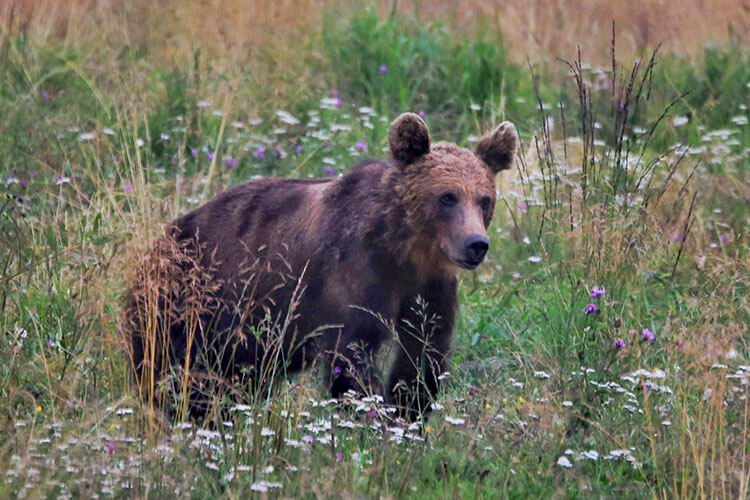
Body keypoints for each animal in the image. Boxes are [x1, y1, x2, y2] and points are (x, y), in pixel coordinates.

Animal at [126, 113, 520, 422]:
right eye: (447, 197)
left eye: (484, 199)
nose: (475, 244)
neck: (404, 249)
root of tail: (158, 243)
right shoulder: (352, 274)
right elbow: (351, 352)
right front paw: (373, 419)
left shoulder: (430, 286)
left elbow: (423, 352)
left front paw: (408, 415)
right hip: (188, 304)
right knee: (174, 373)